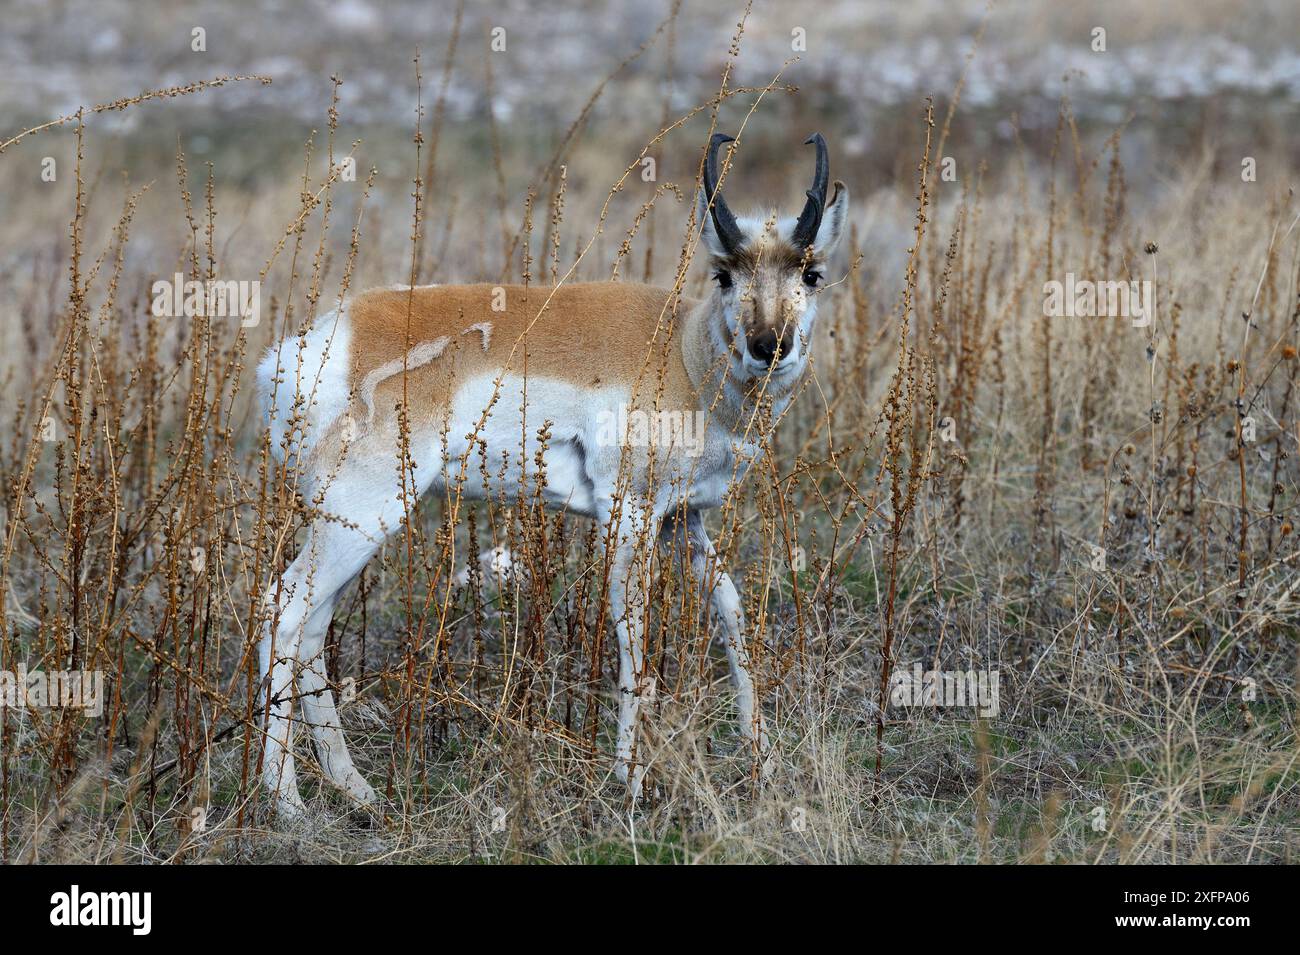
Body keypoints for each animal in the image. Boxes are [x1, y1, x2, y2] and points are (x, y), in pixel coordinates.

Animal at [257, 130, 847, 815]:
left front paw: (761, 762)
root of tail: (324, 342)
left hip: (349, 524)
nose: (767, 346)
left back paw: (354, 789)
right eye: (724, 273)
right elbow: (632, 630)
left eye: (812, 273)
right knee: (284, 607)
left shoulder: (683, 520)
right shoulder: (630, 517)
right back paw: (288, 801)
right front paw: (630, 781)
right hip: (361, 515)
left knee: (310, 626)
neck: (682, 351)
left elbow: (729, 608)